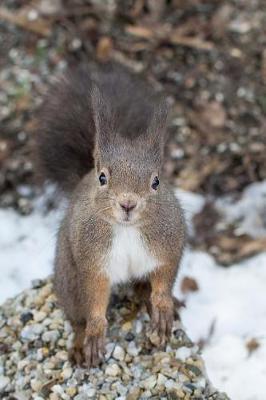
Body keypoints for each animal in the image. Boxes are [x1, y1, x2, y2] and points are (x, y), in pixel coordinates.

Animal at [36, 62, 186, 368]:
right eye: (103, 177)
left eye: (156, 181)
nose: (128, 204)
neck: (126, 229)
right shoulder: (93, 262)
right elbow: (94, 300)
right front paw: (95, 334)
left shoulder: (168, 244)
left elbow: (164, 278)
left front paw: (163, 307)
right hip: (69, 279)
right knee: (76, 315)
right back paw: (80, 344)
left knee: (143, 286)